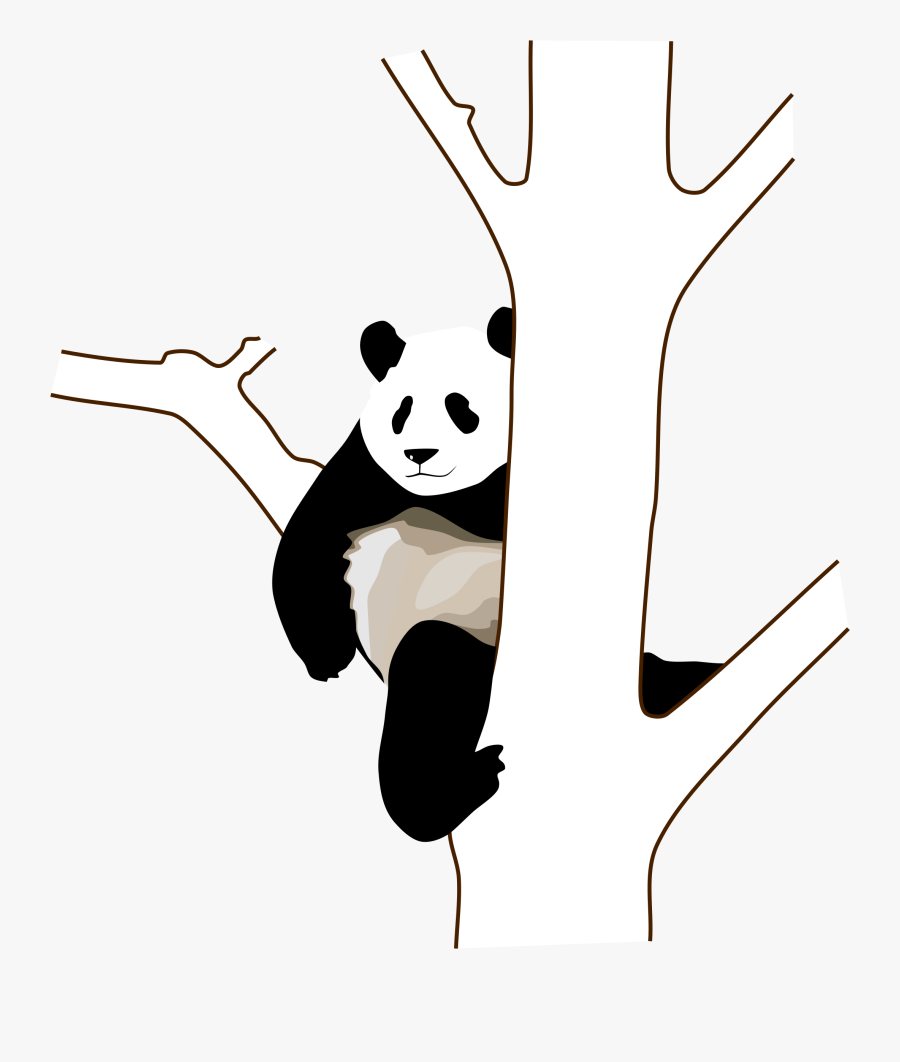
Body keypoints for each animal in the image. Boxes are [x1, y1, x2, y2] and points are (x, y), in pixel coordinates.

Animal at [272, 307, 721, 843]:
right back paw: (457, 790)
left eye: (460, 408)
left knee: (662, 674)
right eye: (401, 411)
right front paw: (326, 657)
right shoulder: (363, 472)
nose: (419, 455)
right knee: (429, 687)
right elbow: (307, 542)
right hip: (453, 646)